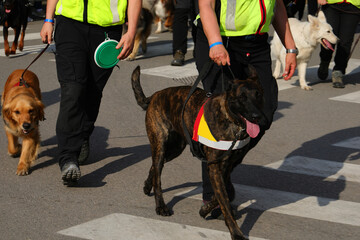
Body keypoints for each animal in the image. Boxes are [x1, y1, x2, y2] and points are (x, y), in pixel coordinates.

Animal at [131, 64, 266, 239]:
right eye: (242, 97)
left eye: (258, 95)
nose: (257, 116)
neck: (231, 121)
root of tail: (155, 95)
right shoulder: (215, 167)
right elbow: (225, 200)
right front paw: (236, 233)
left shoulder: (226, 167)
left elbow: (226, 193)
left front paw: (205, 209)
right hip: (160, 144)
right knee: (158, 174)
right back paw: (160, 206)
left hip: (175, 148)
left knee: (154, 167)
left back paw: (148, 186)